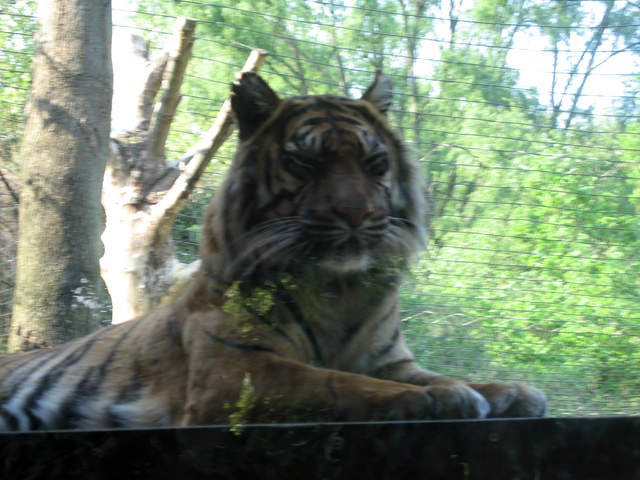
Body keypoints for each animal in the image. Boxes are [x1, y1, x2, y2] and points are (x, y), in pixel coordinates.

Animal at [0, 72, 546, 431]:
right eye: (306, 163)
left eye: (375, 164)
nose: (356, 213)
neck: (339, 288)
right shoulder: (235, 370)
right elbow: (338, 384)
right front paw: (445, 397)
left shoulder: (390, 361)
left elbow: (439, 375)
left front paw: (511, 391)